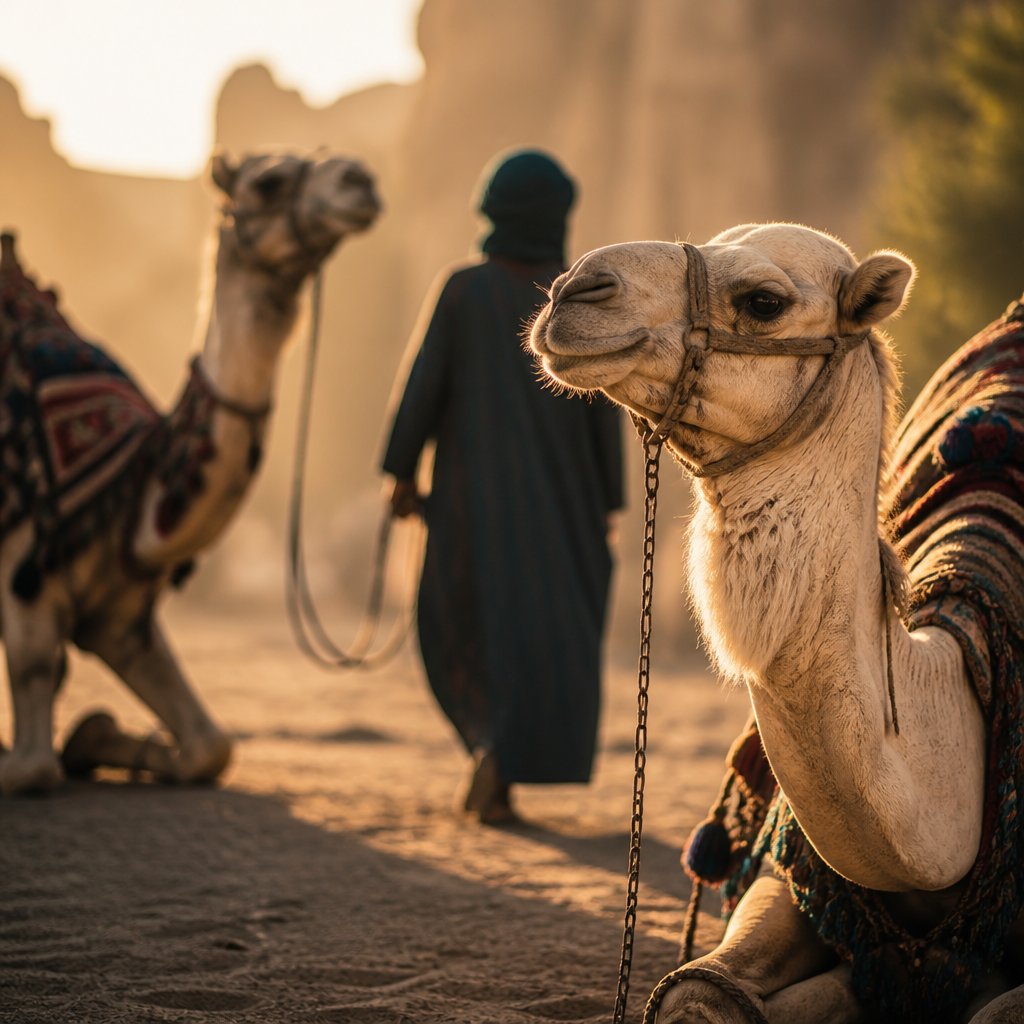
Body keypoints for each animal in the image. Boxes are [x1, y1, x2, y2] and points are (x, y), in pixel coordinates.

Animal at [0, 151, 379, 797]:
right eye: (269, 181)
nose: (362, 180)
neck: (131, 492)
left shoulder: (123, 619)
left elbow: (210, 748)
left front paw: (95, 736)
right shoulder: (22, 575)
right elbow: (30, 763)